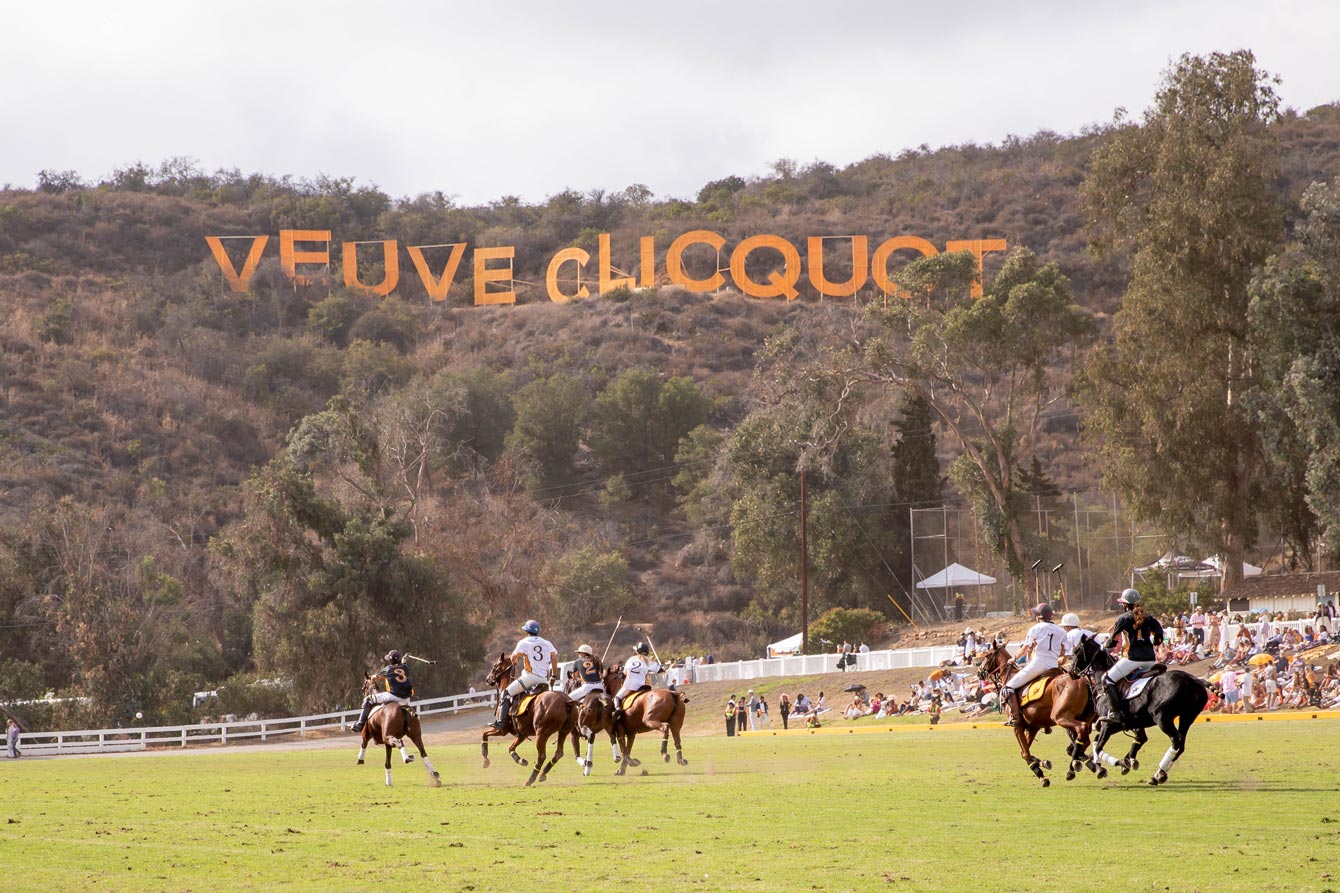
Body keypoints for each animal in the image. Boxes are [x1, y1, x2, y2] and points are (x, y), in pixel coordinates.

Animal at [485, 651, 578, 783]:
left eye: (494, 666)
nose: (488, 679)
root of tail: (566, 701)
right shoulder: (522, 734)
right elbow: (510, 748)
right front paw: (521, 760)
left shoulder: (502, 730)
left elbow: (486, 734)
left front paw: (485, 760)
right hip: (564, 731)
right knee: (559, 753)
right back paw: (543, 773)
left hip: (542, 732)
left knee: (542, 755)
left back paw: (531, 779)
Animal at [980, 635, 1104, 783]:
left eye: (987, 656)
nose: (979, 672)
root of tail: (1085, 682)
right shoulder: (1033, 727)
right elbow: (1024, 752)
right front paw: (1043, 763)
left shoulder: (1017, 726)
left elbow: (1025, 753)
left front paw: (1040, 774)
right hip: (1084, 717)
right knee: (1084, 740)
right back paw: (1088, 764)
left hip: (1060, 716)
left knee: (1081, 730)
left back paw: (1076, 765)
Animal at [1072, 630, 1211, 783]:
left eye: (1075, 651)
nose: (1071, 672)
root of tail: (1193, 679)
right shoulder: (1123, 724)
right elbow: (1103, 743)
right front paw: (1125, 762)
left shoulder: (1108, 724)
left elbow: (1098, 747)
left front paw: (1102, 767)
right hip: (1187, 717)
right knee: (1181, 745)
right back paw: (1159, 774)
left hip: (1162, 717)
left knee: (1177, 740)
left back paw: (1157, 775)